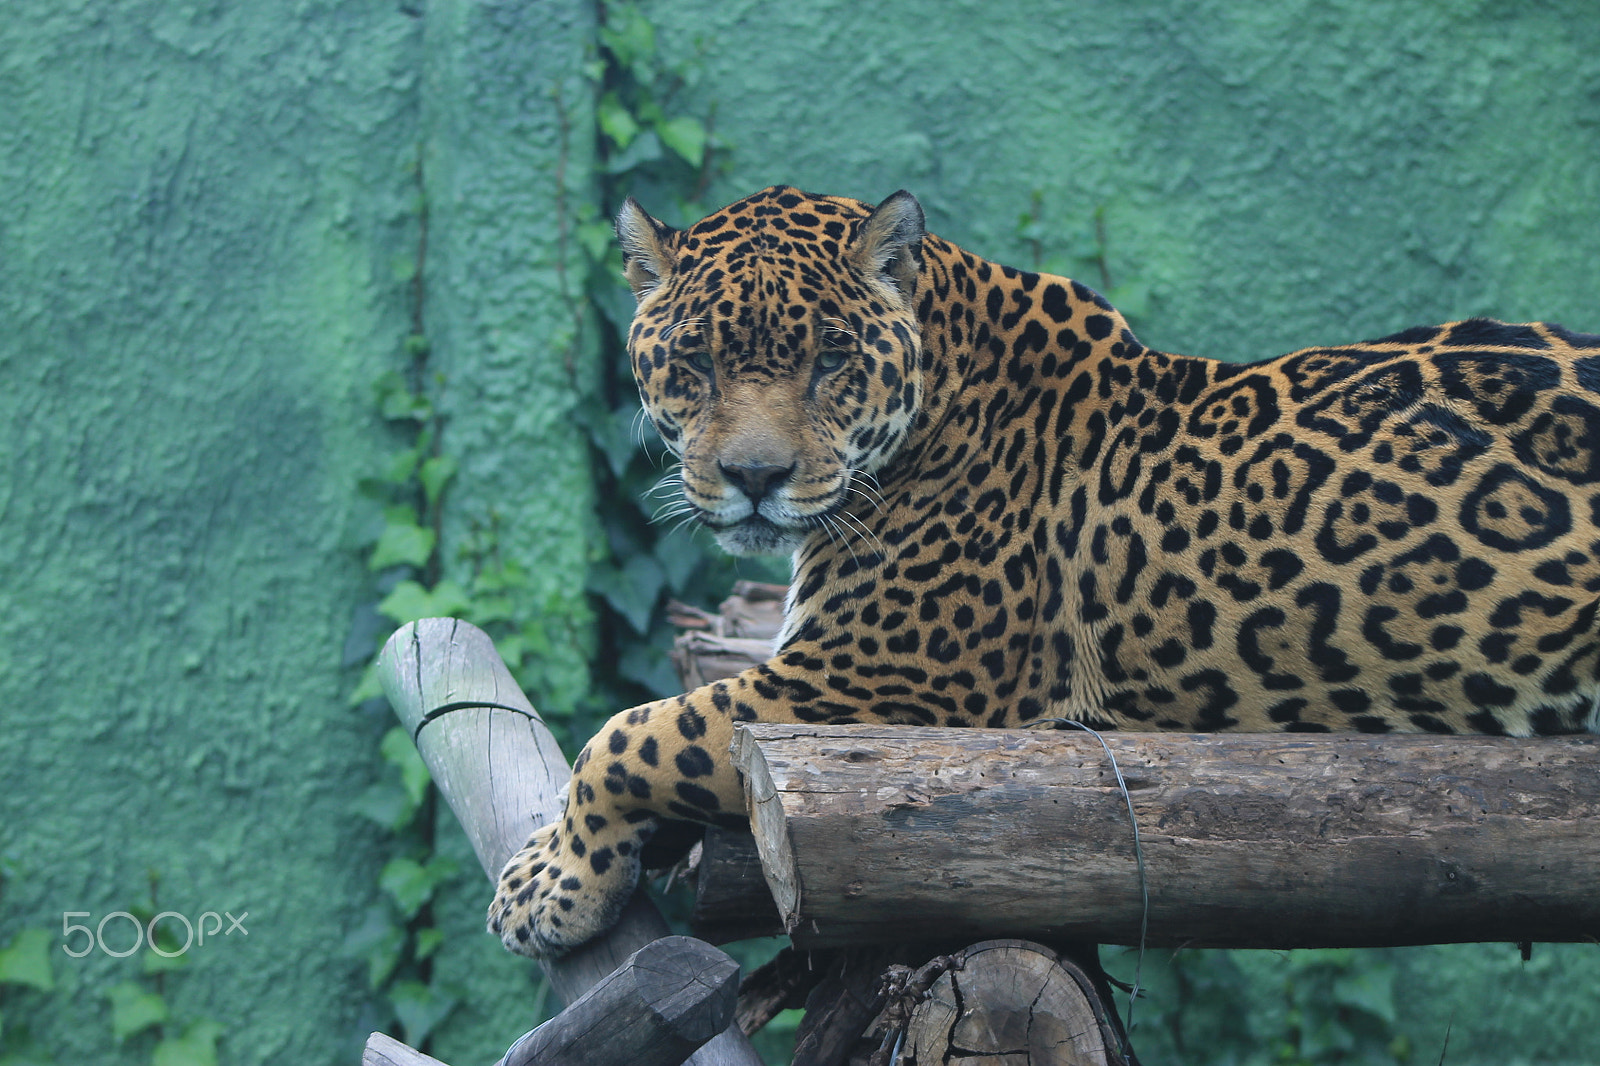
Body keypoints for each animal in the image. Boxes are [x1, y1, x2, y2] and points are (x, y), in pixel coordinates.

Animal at [489, 185, 1600, 959]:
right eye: (698, 364)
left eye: (831, 362)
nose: (753, 479)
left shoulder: (874, 685)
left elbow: (630, 735)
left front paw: (547, 887)